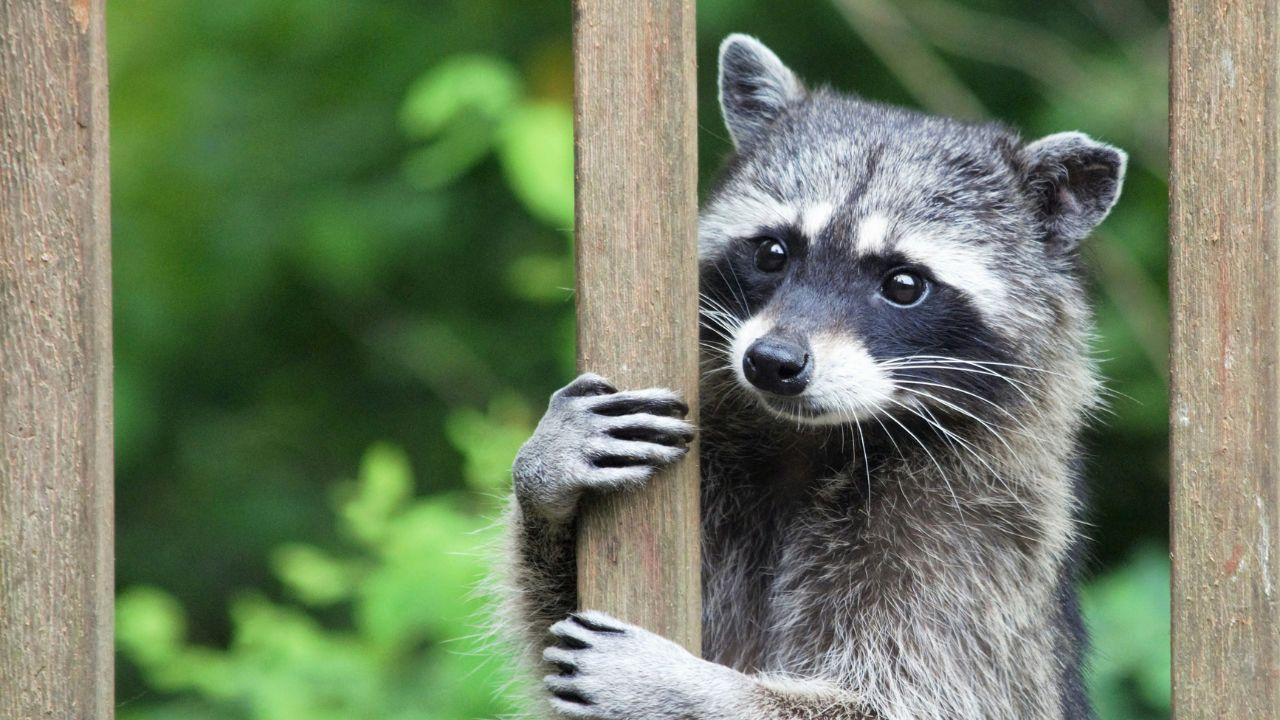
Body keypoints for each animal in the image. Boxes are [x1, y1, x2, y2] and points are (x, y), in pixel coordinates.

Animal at [502, 34, 1125, 720]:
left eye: (903, 284)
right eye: (773, 252)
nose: (772, 361)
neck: (809, 438)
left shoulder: (979, 544)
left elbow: (914, 695)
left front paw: (691, 685)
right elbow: (548, 638)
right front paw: (546, 477)